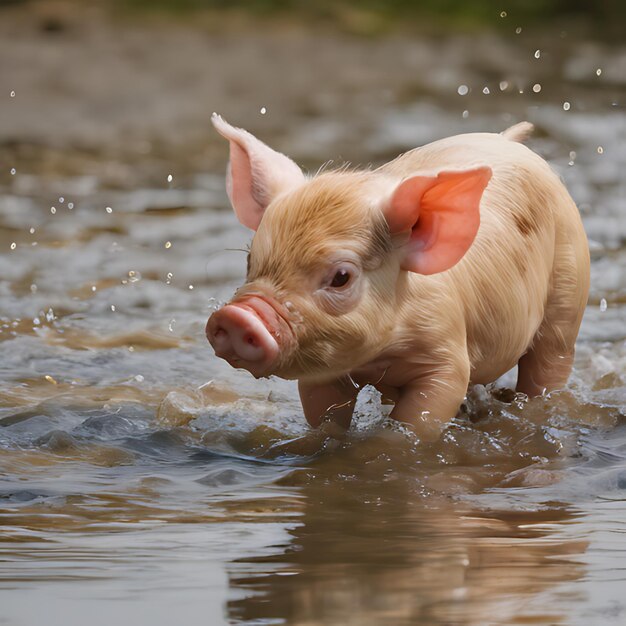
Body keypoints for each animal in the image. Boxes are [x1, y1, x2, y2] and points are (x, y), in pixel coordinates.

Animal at [206, 114, 588, 442]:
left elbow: (426, 410)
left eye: (341, 277)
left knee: (549, 364)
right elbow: (324, 415)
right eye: (250, 260)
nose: (237, 315)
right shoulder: (323, 368)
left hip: (569, 292)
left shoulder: (445, 347)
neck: (379, 358)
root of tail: (508, 139)